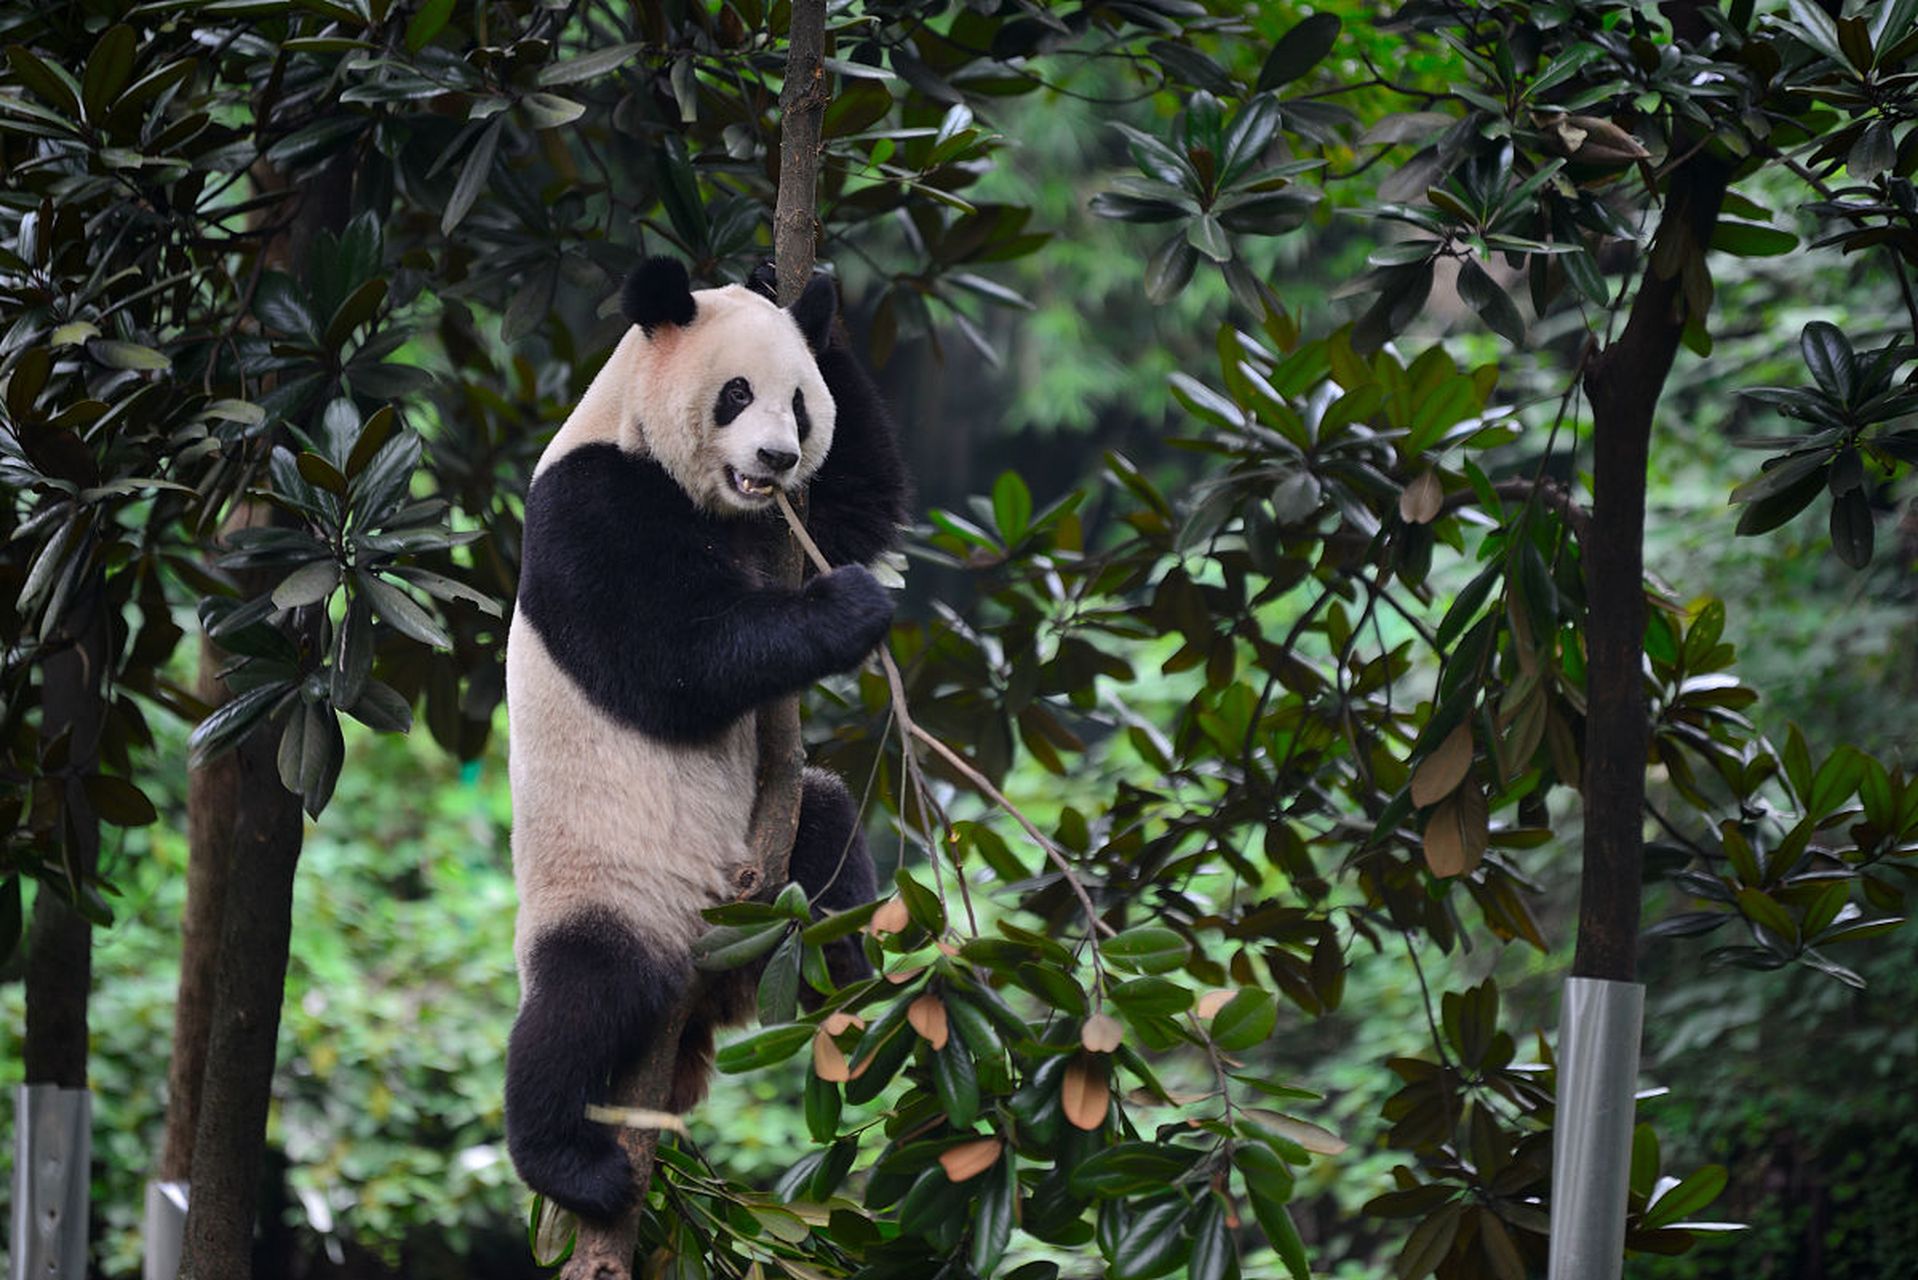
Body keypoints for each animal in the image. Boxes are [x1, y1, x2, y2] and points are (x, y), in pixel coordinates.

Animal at [502, 253, 905, 1220]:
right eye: (735, 394)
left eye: (799, 405)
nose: (777, 457)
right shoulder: (590, 505)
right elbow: (669, 658)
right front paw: (848, 609)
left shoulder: (783, 522)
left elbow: (863, 497)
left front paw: (800, 284)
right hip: (610, 890)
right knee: (584, 997)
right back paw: (572, 1164)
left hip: (769, 875)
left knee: (825, 817)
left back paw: (845, 963)